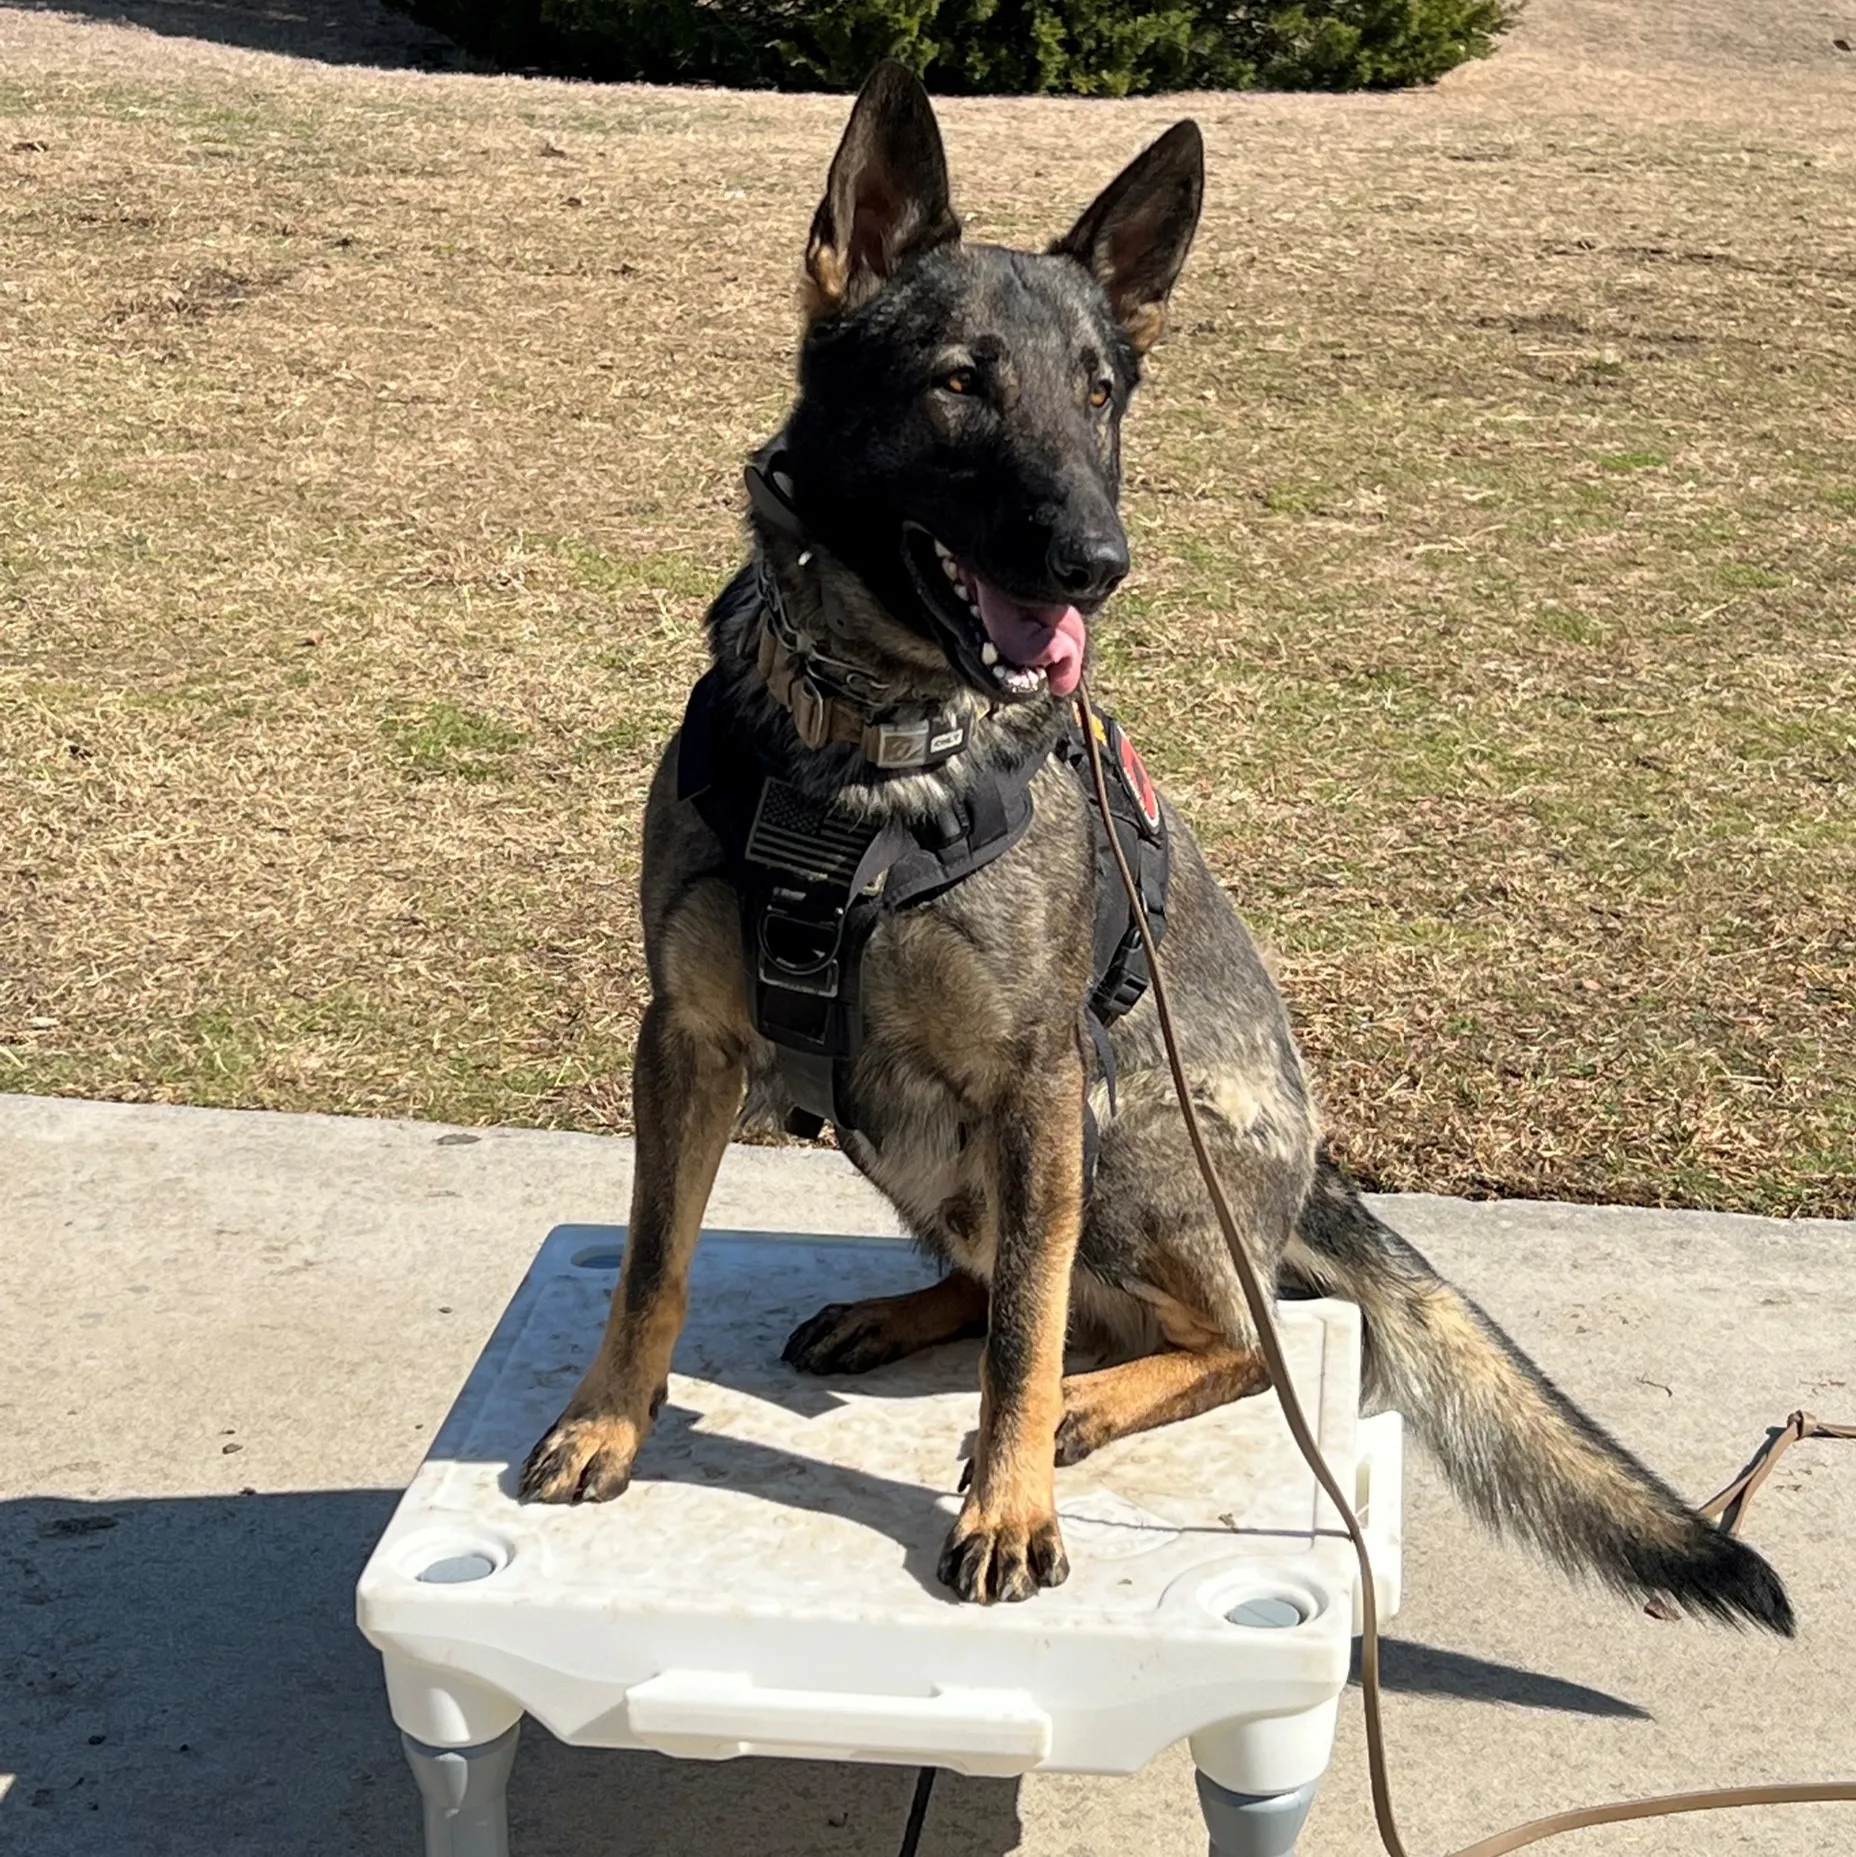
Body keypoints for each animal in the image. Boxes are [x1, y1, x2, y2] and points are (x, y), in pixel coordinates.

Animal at [516, 61, 1790, 1626]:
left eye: (1100, 393)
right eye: (960, 383)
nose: (1097, 563)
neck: (864, 744)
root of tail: (1314, 1176)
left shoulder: (1037, 1075)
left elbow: (1025, 1335)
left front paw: (1012, 1504)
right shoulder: (687, 1037)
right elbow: (653, 1264)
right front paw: (606, 1420)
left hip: (1119, 1126)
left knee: (1231, 1330)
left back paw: (1083, 1403)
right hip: (947, 1141)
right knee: (1011, 1276)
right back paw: (902, 1310)